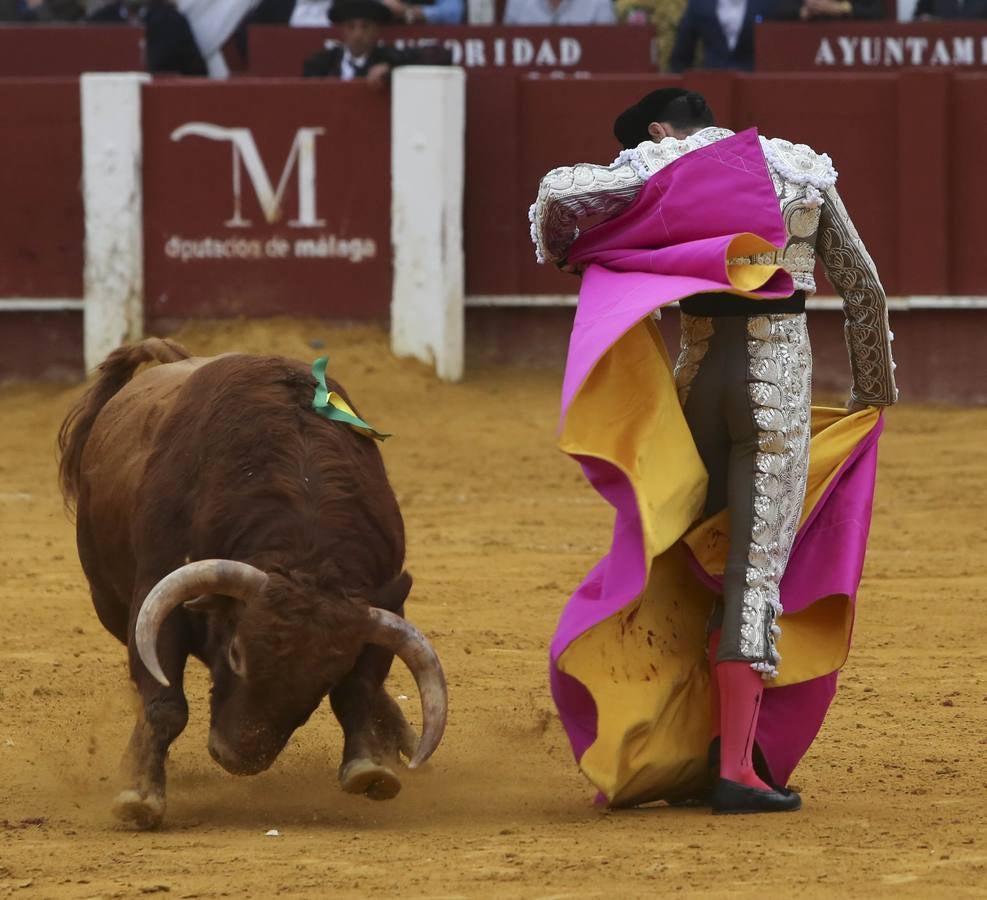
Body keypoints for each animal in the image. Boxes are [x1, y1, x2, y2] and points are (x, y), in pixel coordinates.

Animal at [58, 338, 448, 828]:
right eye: (236, 654)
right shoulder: (156, 593)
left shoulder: (385, 603)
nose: (238, 757)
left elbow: (359, 690)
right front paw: (140, 794)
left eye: (326, 674)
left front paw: (370, 767)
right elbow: (163, 702)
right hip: (108, 602)